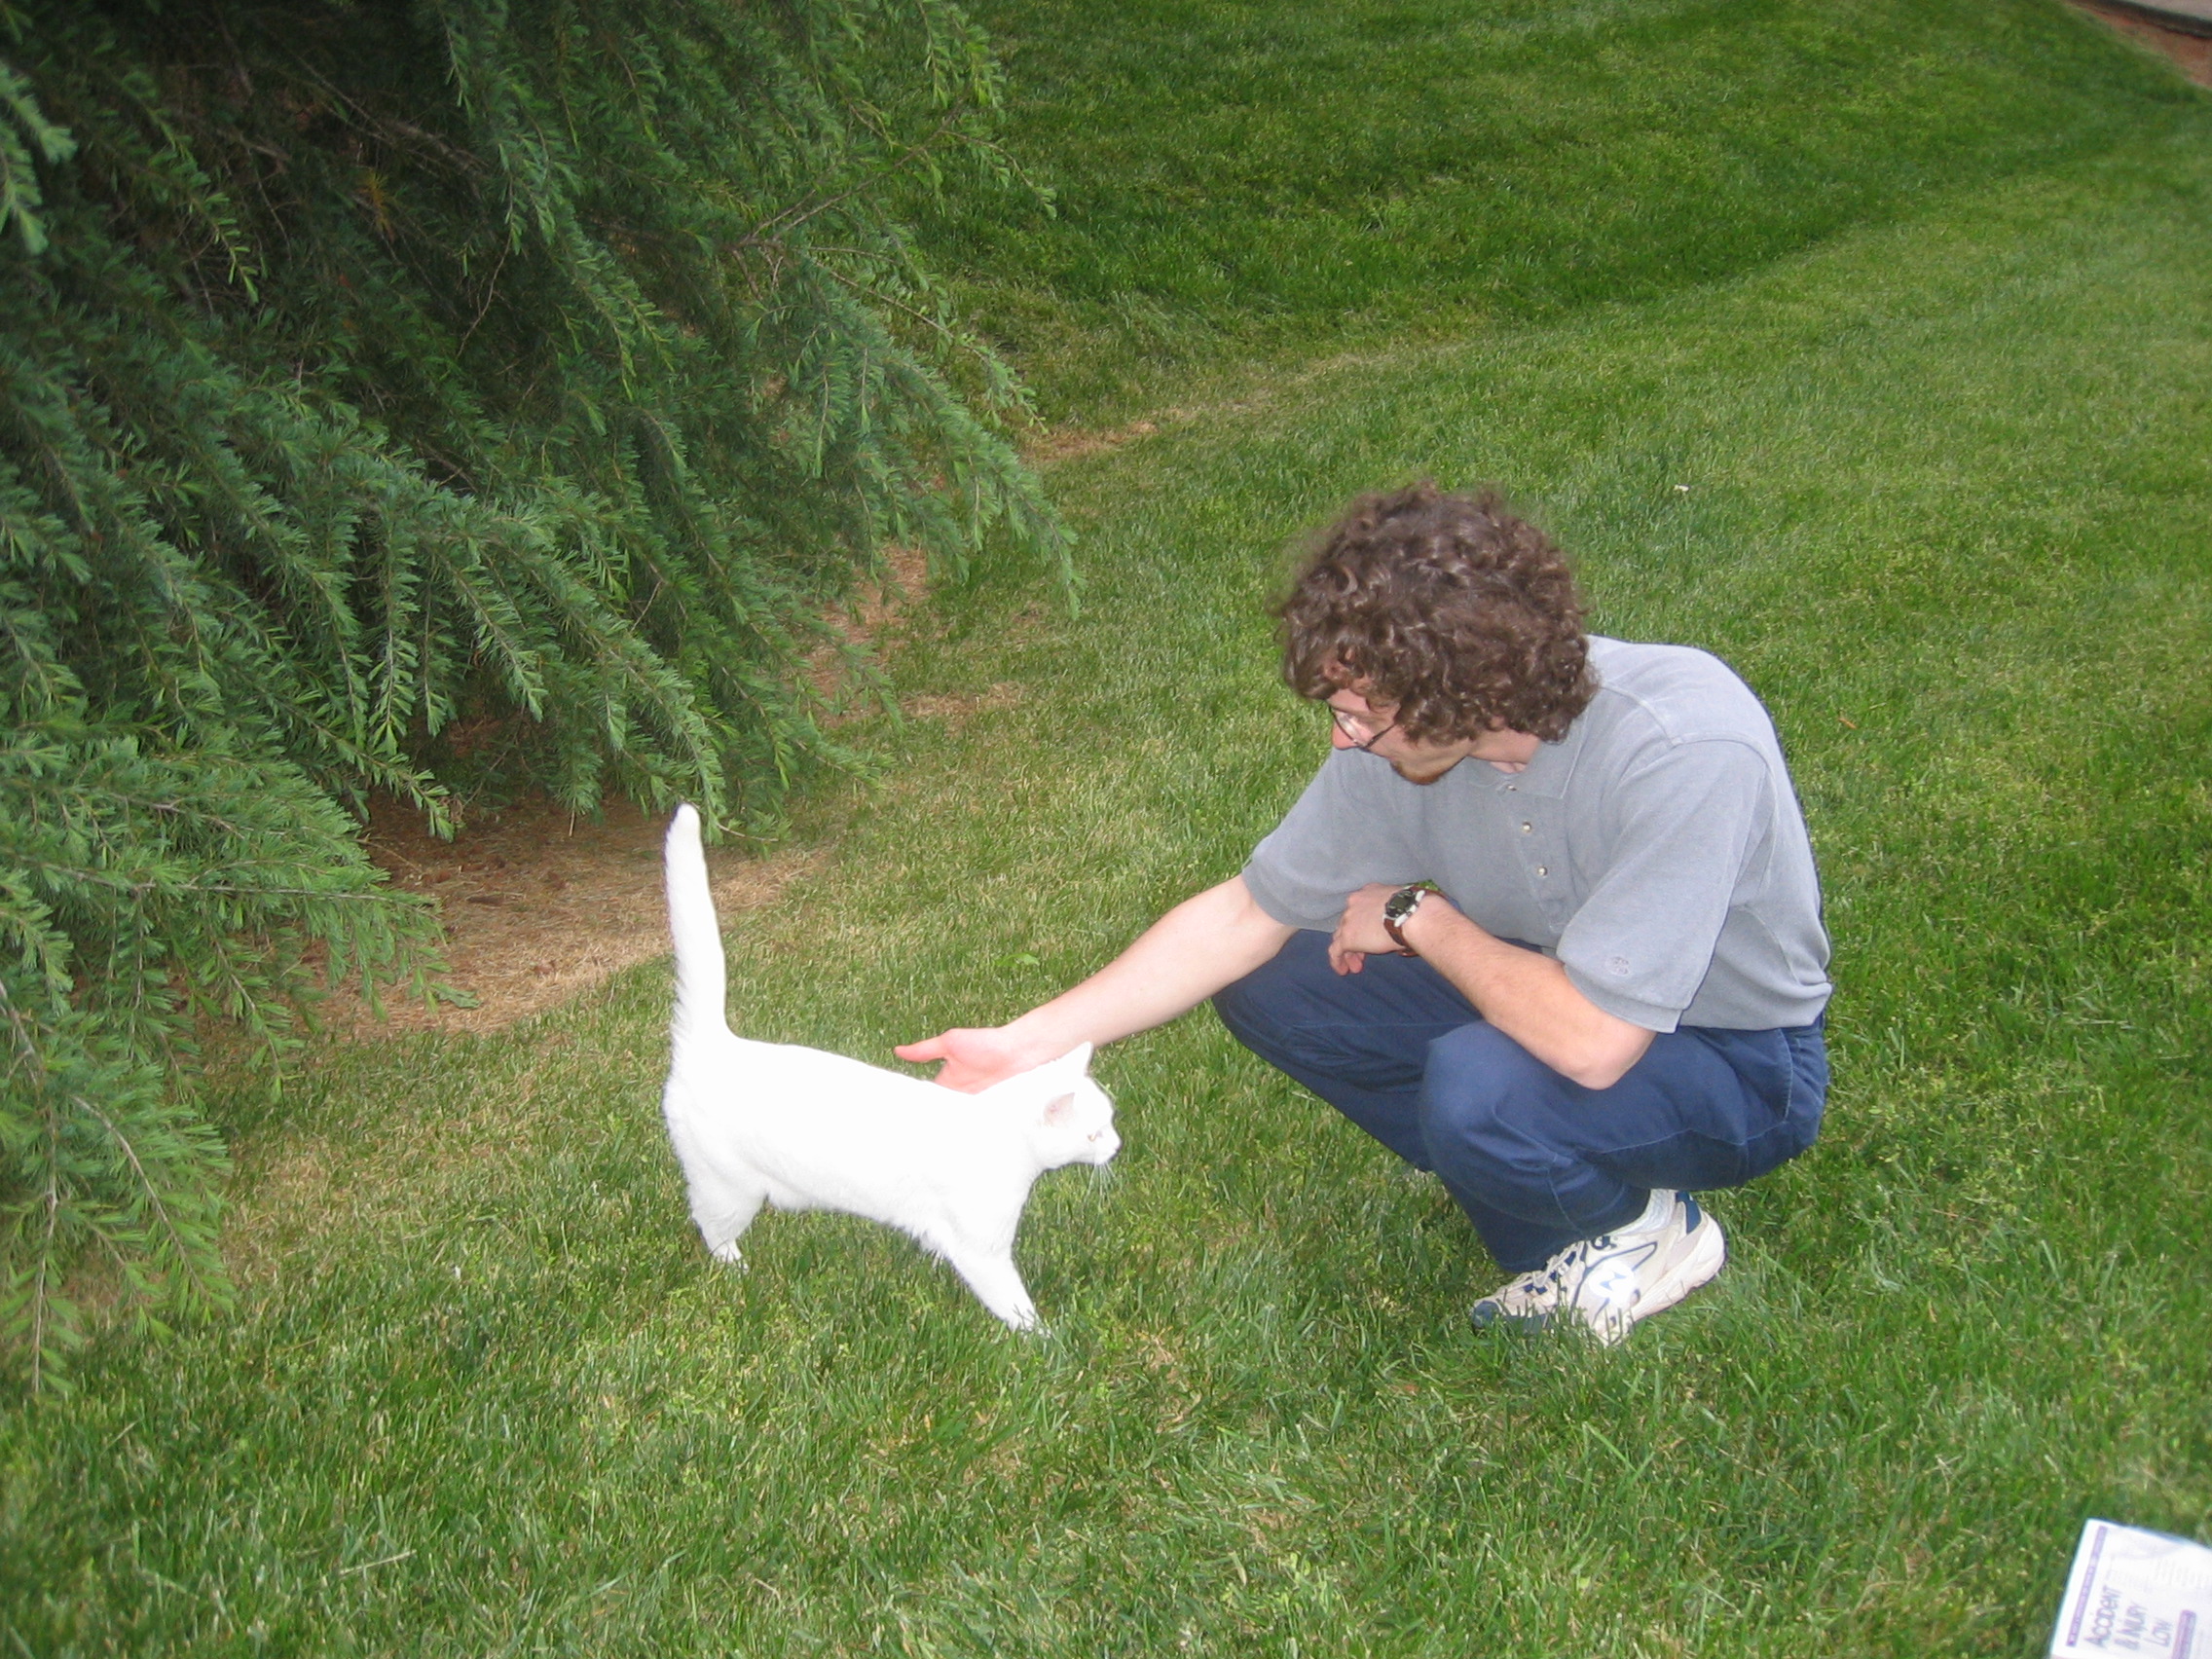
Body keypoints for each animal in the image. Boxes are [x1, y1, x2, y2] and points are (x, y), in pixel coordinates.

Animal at [660, 803, 1119, 1331]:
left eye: (1111, 1123)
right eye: (1092, 1134)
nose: (1117, 1147)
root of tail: (718, 1041)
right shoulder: (983, 1250)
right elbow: (1013, 1304)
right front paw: (1047, 1338)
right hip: (728, 1187)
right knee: (708, 1223)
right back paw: (735, 1267)